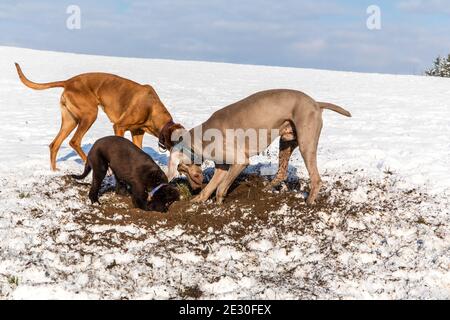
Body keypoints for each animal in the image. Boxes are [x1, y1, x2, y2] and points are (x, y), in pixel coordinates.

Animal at [15, 63, 184, 171]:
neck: (152, 108)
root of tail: (68, 82)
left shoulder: (137, 132)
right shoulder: (119, 126)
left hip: (70, 120)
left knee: (54, 144)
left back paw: (54, 170)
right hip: (90, 114)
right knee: (74, 141)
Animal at [166, 90, 352, 205]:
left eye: (182, 169)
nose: (194, 188)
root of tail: (316, 103)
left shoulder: (240, 162)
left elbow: (220, 188)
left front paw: (218, 206)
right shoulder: (222, 167)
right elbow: (211, 187)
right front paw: (196, 202)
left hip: (306, 143)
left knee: (316, 178)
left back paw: (309, 202)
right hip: (286, 140)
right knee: (282, 172)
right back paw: (266, 190)